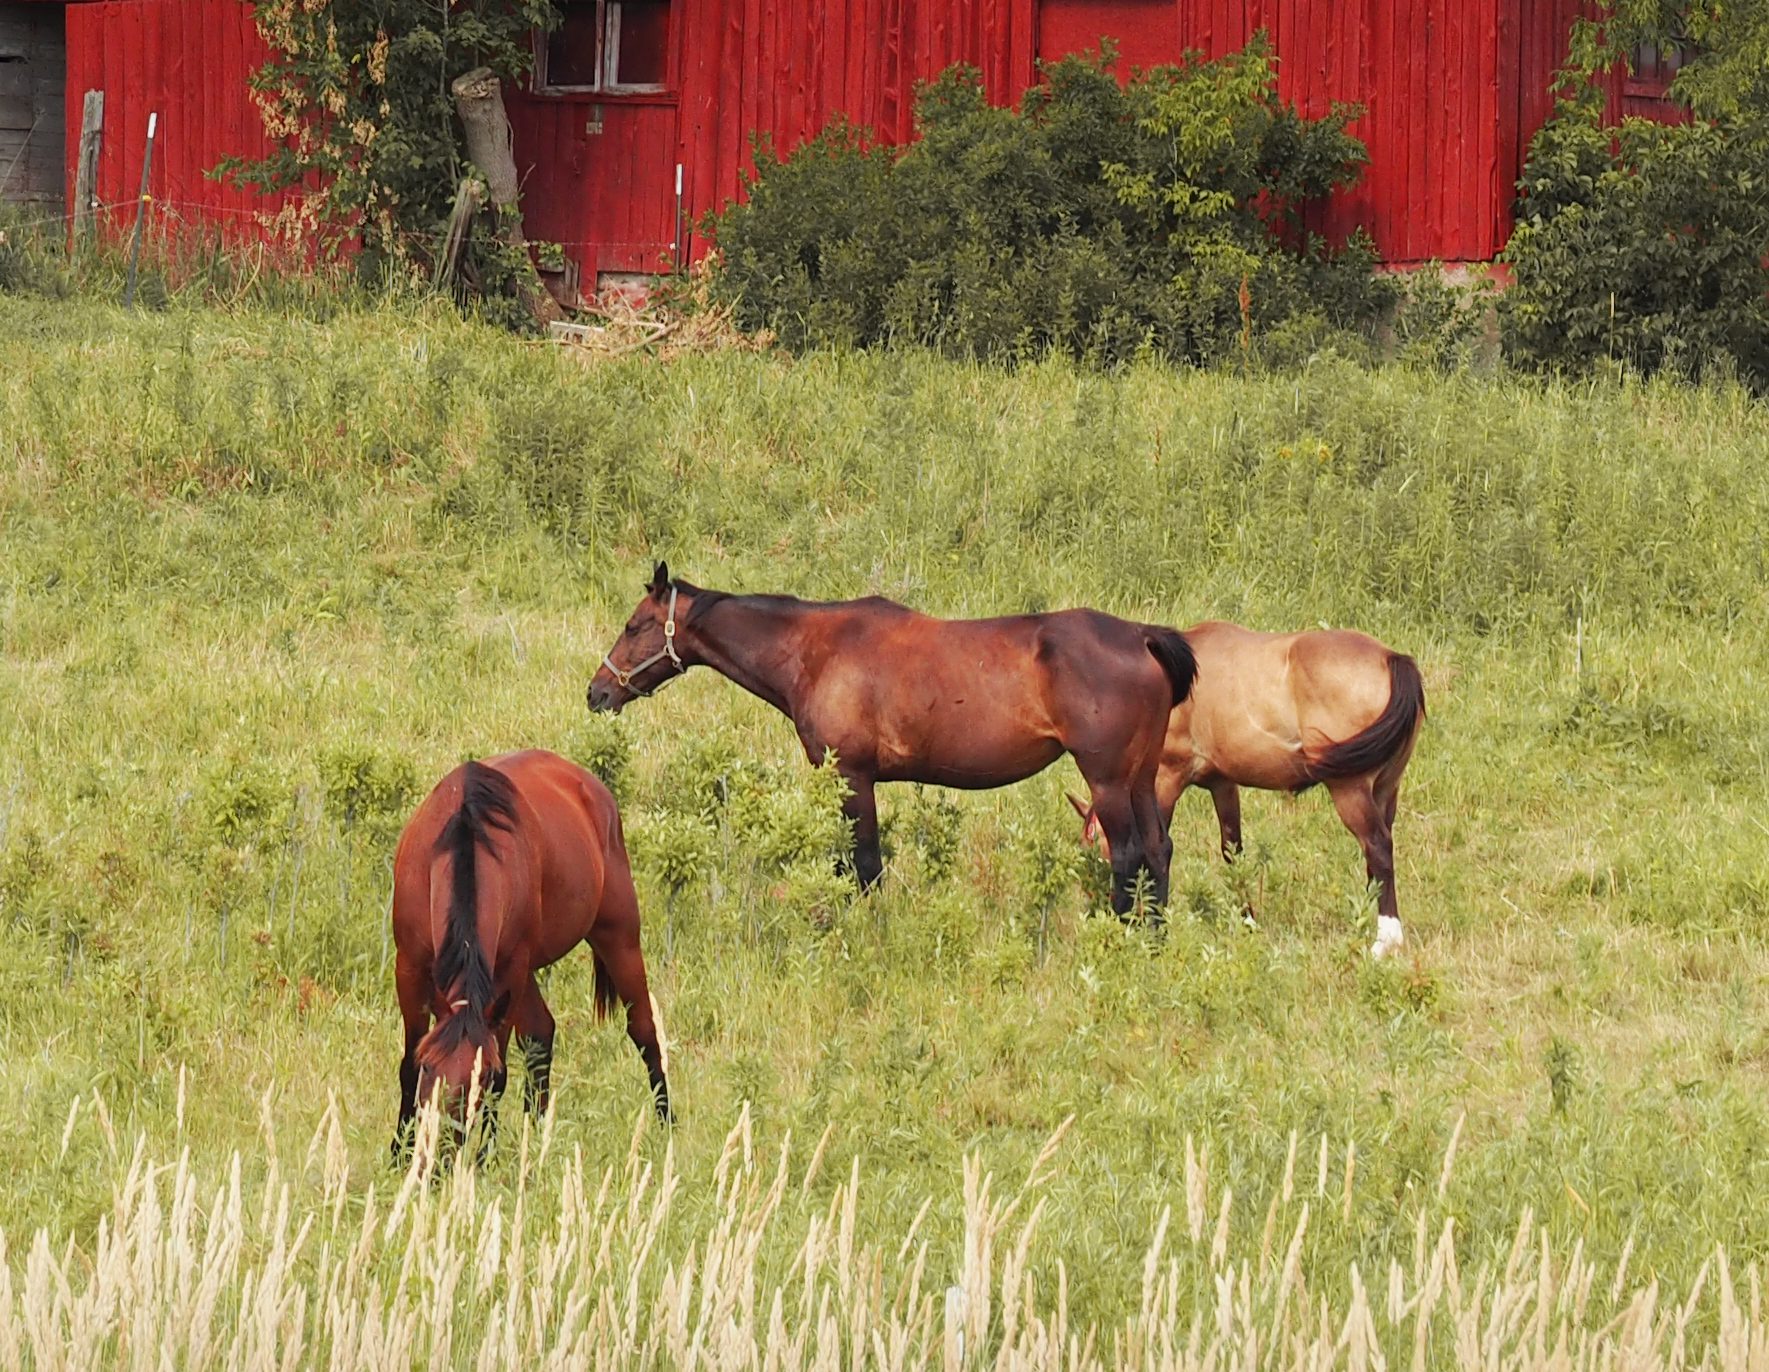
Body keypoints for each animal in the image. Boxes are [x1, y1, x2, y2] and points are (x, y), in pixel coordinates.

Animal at [390, 749, 671, 1160]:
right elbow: (406, 1064)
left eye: (480, 1077)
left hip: (619, 938)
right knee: (542, 1033)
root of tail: (593, 789)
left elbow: (503, 1071)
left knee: (645, 1031)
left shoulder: (508, 972)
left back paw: (668, 1126)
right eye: (430, 1068)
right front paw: (400, 1153)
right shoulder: (409, 968)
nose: (443, 1153)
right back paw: (536, 1134)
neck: (465, 839)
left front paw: (485, 1158)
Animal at [587, 563, 1198, 918]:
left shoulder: (853, 775)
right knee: (1159, 850)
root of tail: (1141, 636)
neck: (813, 651)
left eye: (634, 625)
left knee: (1130, 854)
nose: (597, 692)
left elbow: (863, 863)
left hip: (1108, 780)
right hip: (1142, 778)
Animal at [1066, 622, 1424, 957]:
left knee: (1377, 847)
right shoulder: (1223, 784)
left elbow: (1155, 848)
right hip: (1385, 789)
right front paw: (1247, 921)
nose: (1098, 907)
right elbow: (1232, 851)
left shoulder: (1167, 777)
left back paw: (1385, 940)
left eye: (1093, 845)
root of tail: (1391, 658)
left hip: (1350, 789)